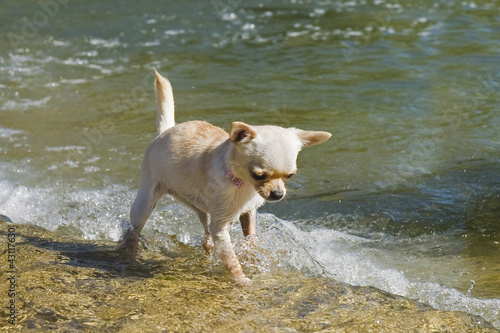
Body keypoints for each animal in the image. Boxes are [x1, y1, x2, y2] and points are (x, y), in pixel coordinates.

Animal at [122, 70, 330, 286]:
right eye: (259, 175)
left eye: (290, 175)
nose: (278, 194)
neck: (242, 184)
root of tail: (166, 131)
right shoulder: (221, 227)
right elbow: (231, 258)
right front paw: (241, 278)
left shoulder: (248, 213)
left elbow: (250, 238)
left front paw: (253, 256)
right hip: (146, 200)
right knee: (133, 231)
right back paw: (131, 256)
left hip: (201, 208)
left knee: (206, 237)